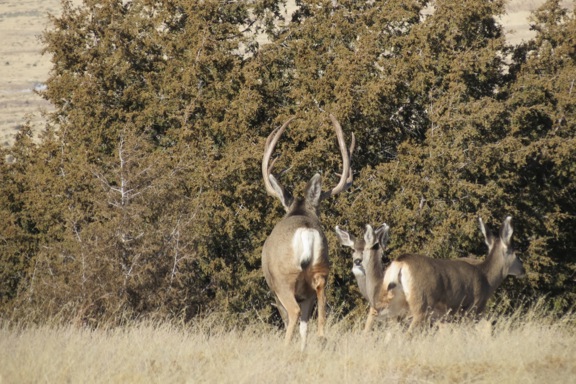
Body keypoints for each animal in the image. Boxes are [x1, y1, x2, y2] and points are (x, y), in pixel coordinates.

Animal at [260, 112, 352, 350]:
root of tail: (306, 231)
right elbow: (305, 324)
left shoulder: (274, 287)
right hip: (320, 272)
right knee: (319, 307)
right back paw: (319, 339)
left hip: (284, 279)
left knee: (292, 313)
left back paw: (285, 348)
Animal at [338, 218, 528, 332]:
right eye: (515, 252)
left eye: (365, 249)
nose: (523, 269)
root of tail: (400, 264)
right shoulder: (470, 309)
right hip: (421, 309)